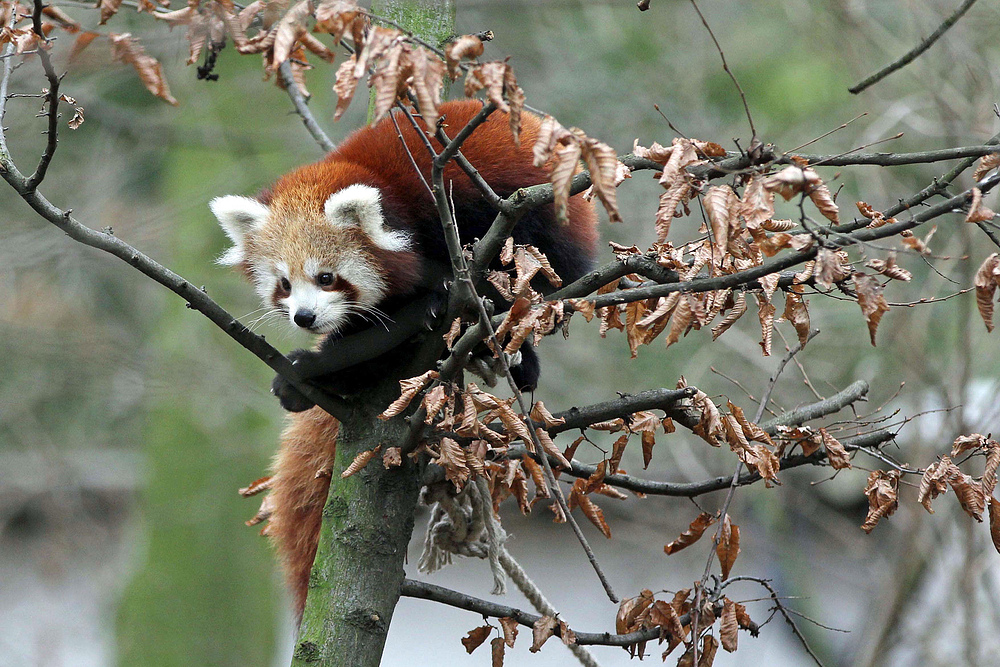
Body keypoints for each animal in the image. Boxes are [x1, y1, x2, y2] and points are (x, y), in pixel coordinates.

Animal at [210, 100, 596, 620]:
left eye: (326, 277)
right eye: (284, 284)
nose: (305, 317)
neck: (390, 193)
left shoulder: (458, 208)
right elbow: (372, 337)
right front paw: (320, 373)